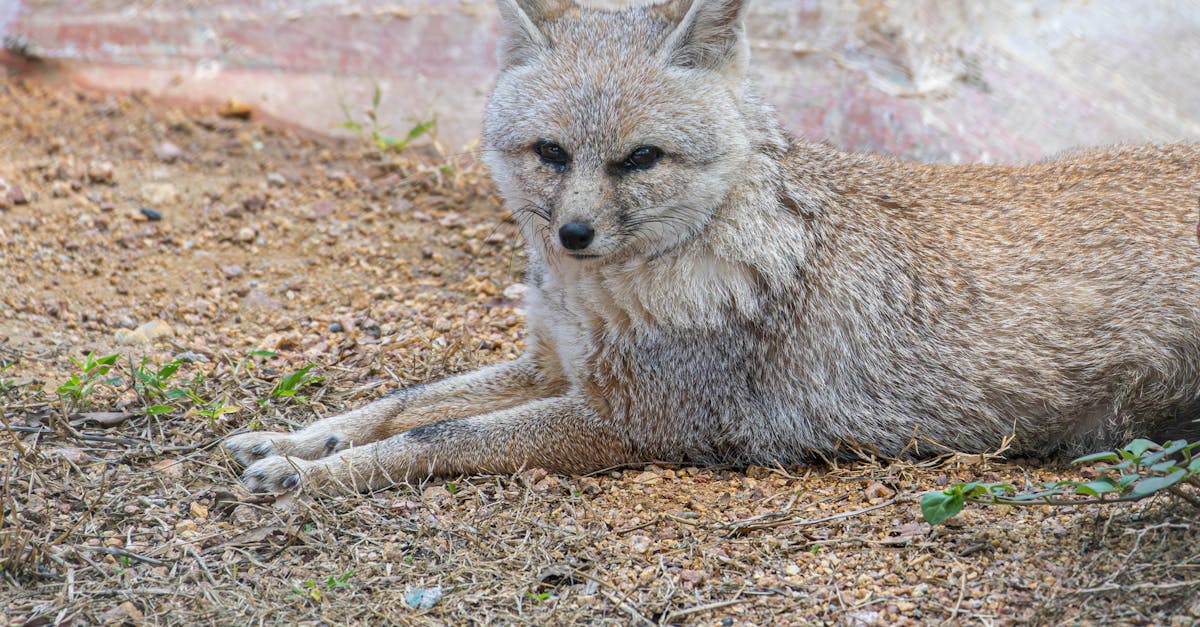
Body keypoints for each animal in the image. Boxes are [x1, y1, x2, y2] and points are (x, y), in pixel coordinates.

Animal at [225, 0, 1200, 492]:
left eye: (639, 159)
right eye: (551, 154)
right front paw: (298, 437)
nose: (574, 234)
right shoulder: (554, 364)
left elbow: (441, 431)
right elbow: (403, 399)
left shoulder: (629, 422)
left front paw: (315, 473)